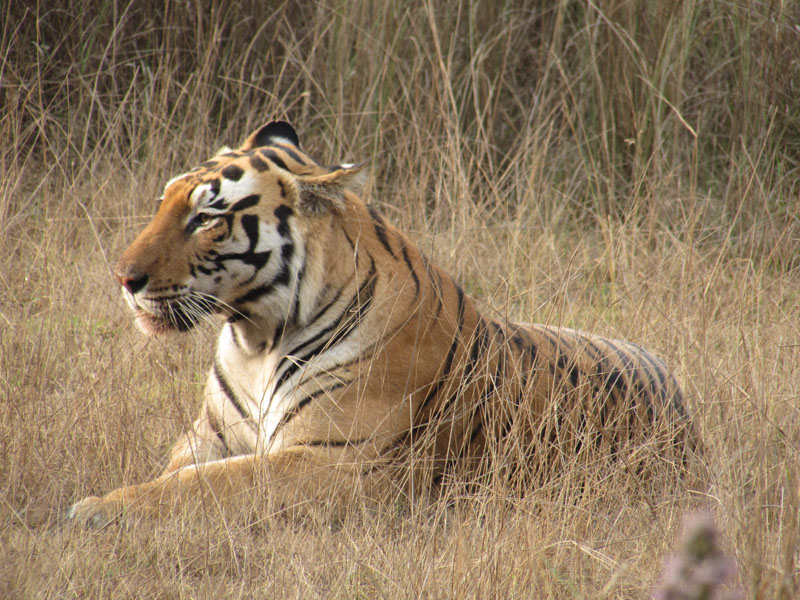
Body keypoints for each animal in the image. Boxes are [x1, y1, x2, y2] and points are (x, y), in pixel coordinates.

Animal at [69, 120, 700, 524]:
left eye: (206, 218)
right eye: (164, 202)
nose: (124, 279)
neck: (256, 339)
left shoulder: (342, 461)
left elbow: (208, 485)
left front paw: (97, 508)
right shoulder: (208, 436)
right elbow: (178, 471)